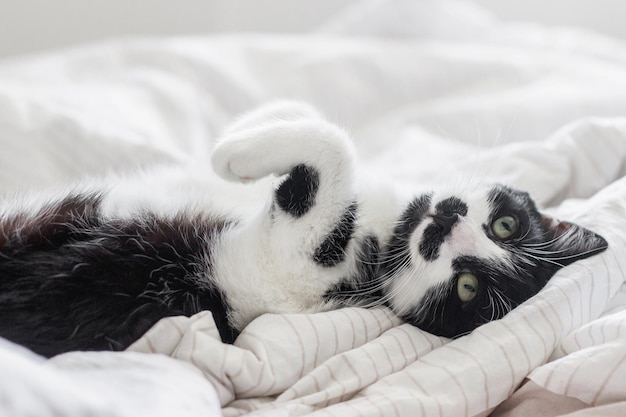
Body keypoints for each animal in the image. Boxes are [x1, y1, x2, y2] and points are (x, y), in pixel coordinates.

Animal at [0, 101, 604, 358]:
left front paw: (230, 156)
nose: (448, 228)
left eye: (468, 288)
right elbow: (315, 119)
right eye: (505, 224)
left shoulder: (282, 264)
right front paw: (250, 131)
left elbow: (336, 145)